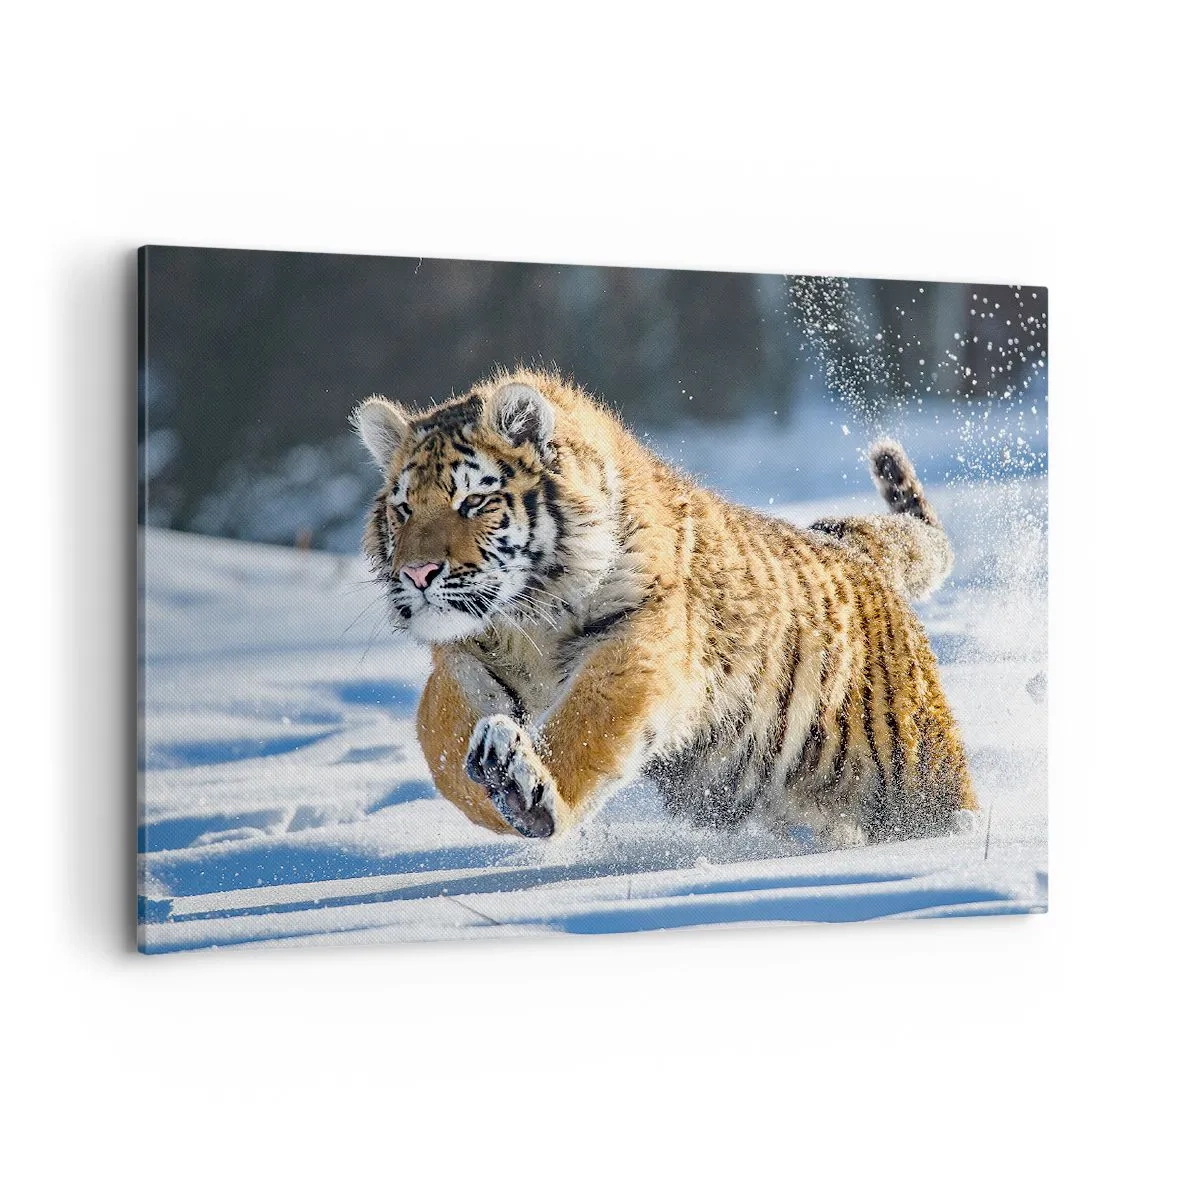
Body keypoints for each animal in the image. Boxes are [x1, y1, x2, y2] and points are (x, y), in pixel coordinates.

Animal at [353, 367, 977, 848]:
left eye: (474, 501)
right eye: (404, 510)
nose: (417, 573)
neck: (525, 619)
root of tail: (854, 546)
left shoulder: (636, 642)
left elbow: (585, 724)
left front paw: (524, 789)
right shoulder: (459, 661)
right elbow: (445, 745)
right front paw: (494, 785)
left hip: (916, 769)